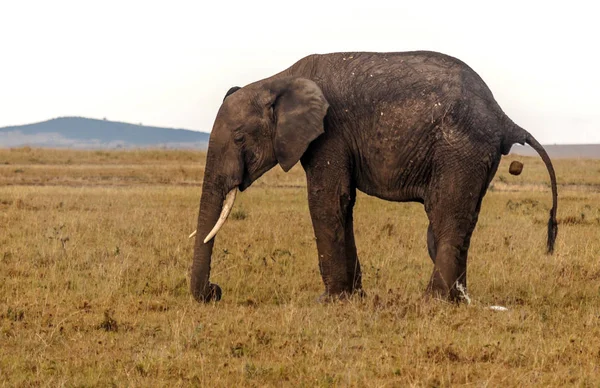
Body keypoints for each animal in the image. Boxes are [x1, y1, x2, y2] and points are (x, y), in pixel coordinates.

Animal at [191, 50, 556, 304]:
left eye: (240, 138)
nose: (214, 292)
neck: (280, 80)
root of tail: (503, 117)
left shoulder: (329, 133)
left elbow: (327, 200)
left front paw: (328, 301)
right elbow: (344, 203)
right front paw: (353, 298)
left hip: (460, 148)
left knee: (446, 216)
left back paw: (433, 302)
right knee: (454, 222)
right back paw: (457, 300)